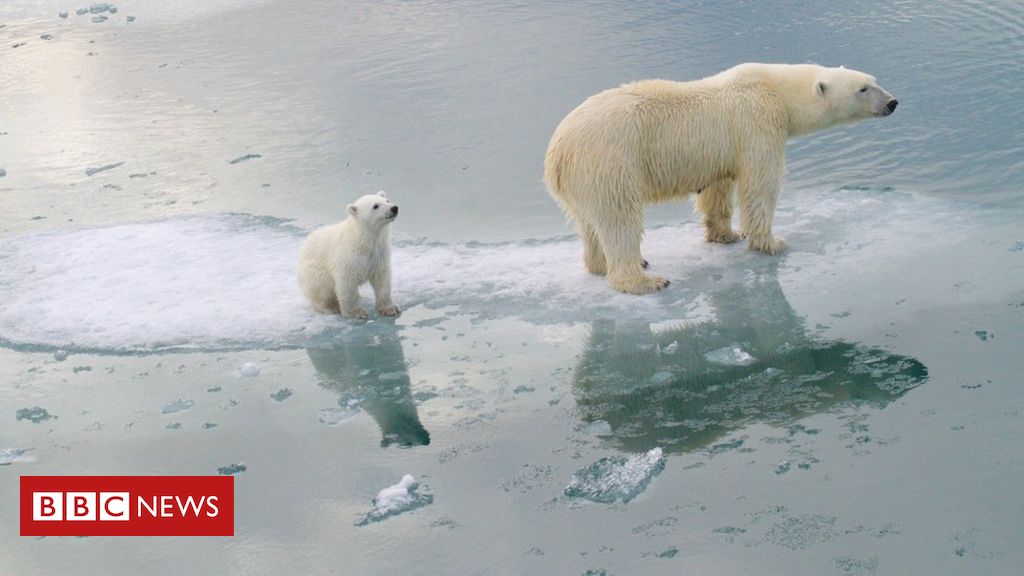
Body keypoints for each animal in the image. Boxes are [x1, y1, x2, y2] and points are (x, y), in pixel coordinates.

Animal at [544, 63, 897, 291]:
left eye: (873, 79)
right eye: (863, 88)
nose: (893, 102)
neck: (775, 89)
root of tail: (558, 152)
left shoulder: (721, 151)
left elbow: (718, 189)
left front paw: (727, 234)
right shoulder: (757, 123)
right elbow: (761, 184)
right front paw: (772, 242)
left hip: (582, 180)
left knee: (589, 223)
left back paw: (601, 264)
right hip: (609, 162)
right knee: (619, 219)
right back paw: (644, 279)